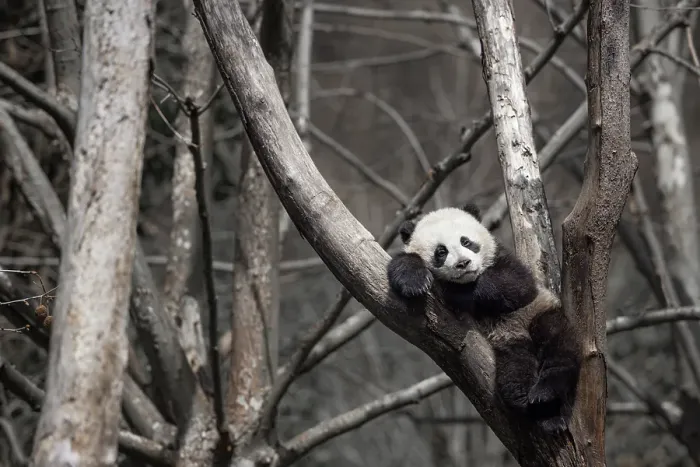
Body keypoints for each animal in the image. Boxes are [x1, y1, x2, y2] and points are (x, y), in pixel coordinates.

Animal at [387, 203, 582, 433]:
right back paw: (531, 403)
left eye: (466, 241)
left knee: (559, 343)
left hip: (538, 312)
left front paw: (453, 292)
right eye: (441, 251)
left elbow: (517, 284)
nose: (463, 263)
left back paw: (546, 394)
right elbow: (401, 264)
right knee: (514, 371)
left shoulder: (503, 258)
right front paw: (414, 281)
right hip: (510, 346)